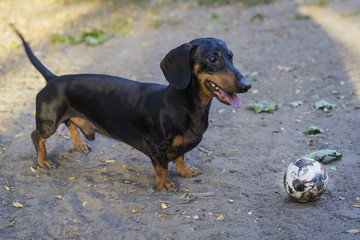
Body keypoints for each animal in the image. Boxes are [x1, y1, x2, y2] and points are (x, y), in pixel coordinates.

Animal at [14, 26, 250, 191]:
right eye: (212, 58)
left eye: (231, 56)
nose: (246, 86)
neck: (184, 104)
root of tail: (53, 78)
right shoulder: (156, 146)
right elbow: (162, 167)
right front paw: (165, 184)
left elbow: (181, 156)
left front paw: (184, 170)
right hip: (49, 122)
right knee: (37, 137)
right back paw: (43, 160)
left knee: (71, 124)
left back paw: (79, 145)